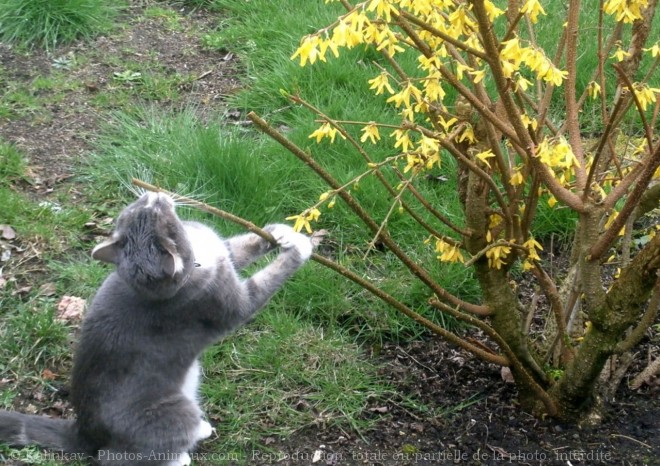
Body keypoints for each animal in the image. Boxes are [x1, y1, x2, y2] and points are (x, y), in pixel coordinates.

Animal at [0, 191, 314, 464]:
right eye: (157, 214)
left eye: (140, 211)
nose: (154, 195)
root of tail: (84, 432)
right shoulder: (230, 303)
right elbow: (265, 282)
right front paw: (300, 249)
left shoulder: (222, 251)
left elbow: (241, 245)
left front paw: (282, 233)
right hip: (172, 412)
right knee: (115, 457)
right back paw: (182, 453)